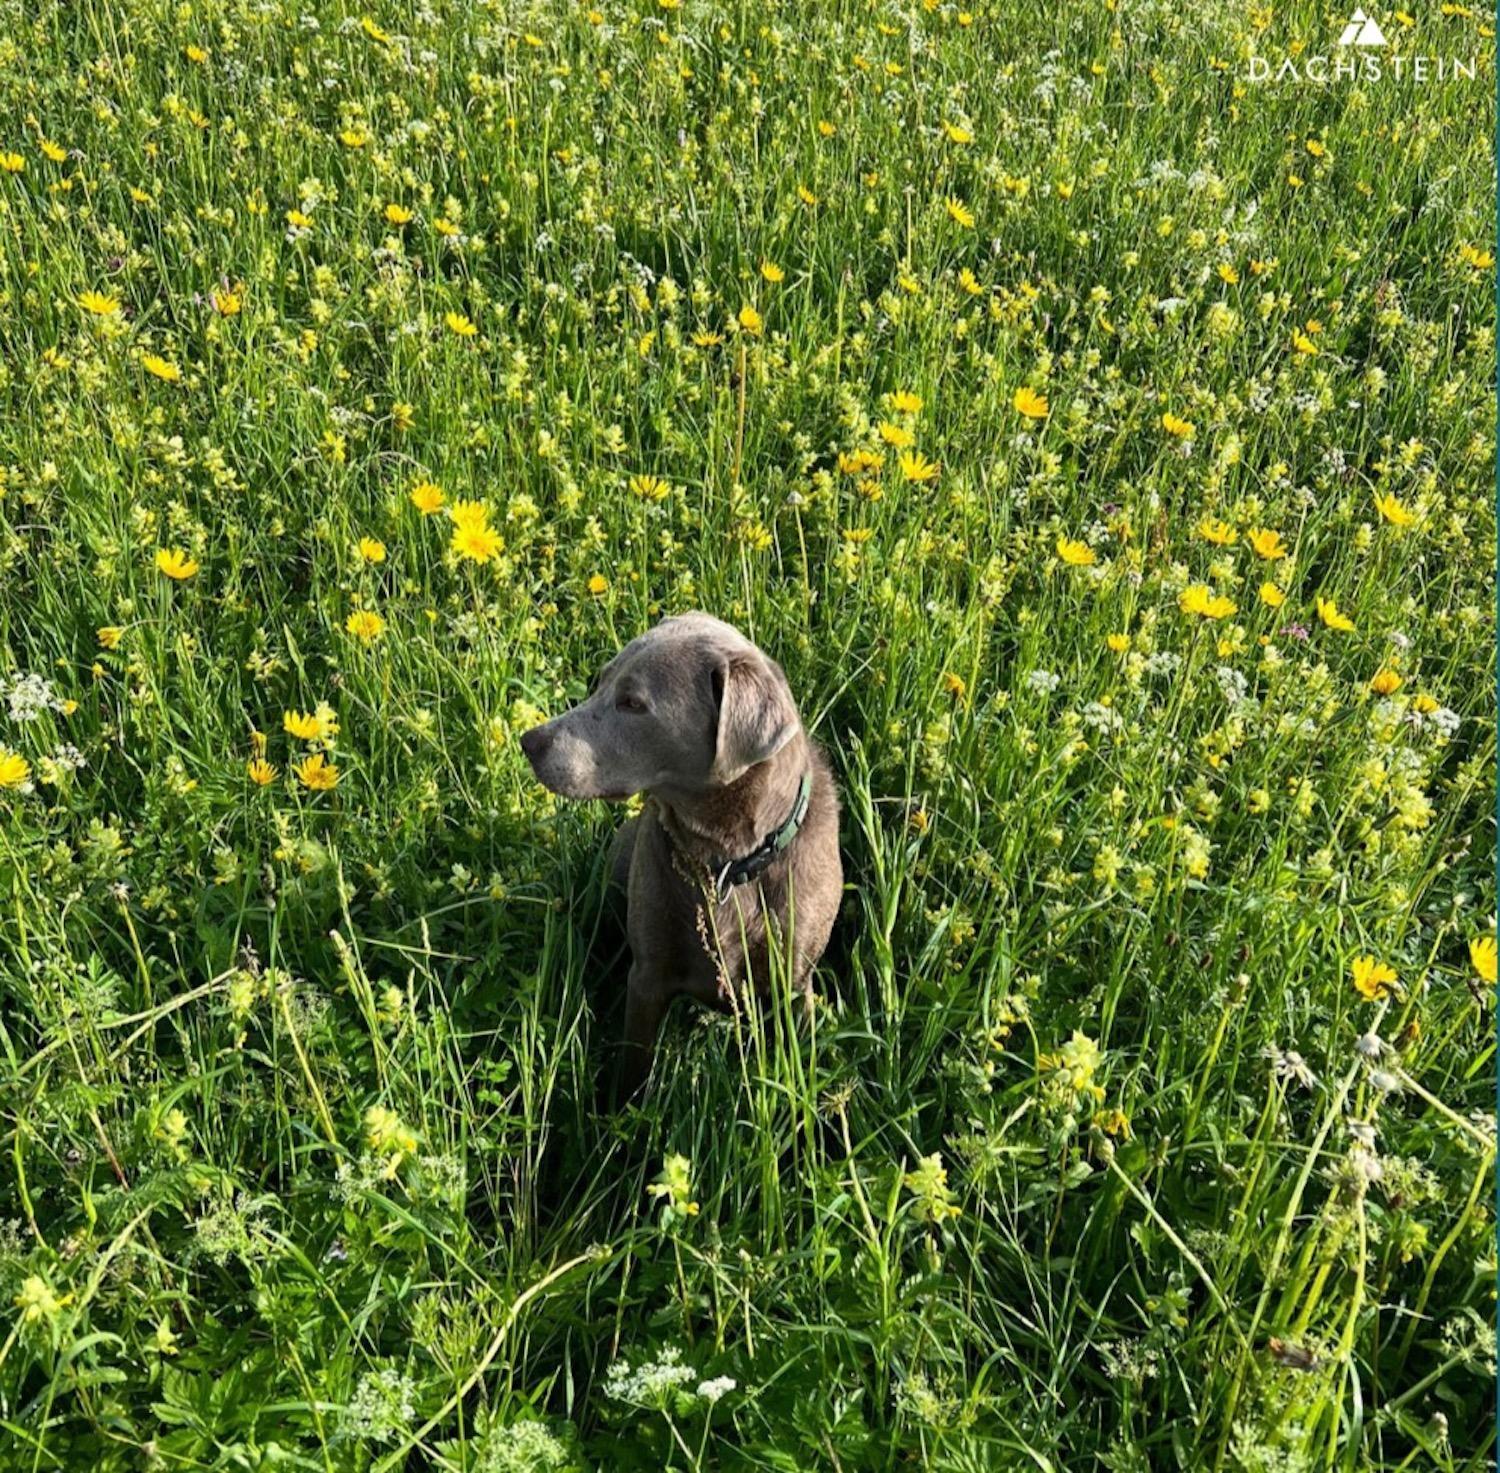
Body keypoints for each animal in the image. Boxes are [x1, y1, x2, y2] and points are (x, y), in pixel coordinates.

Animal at [519, 609, 846, 1098]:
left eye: (633, 703)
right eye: (601, 681)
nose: (530, 741)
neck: (724, 860)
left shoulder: (793, 980)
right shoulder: (648, 974)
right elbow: (634, 1065)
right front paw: (620, 1115)